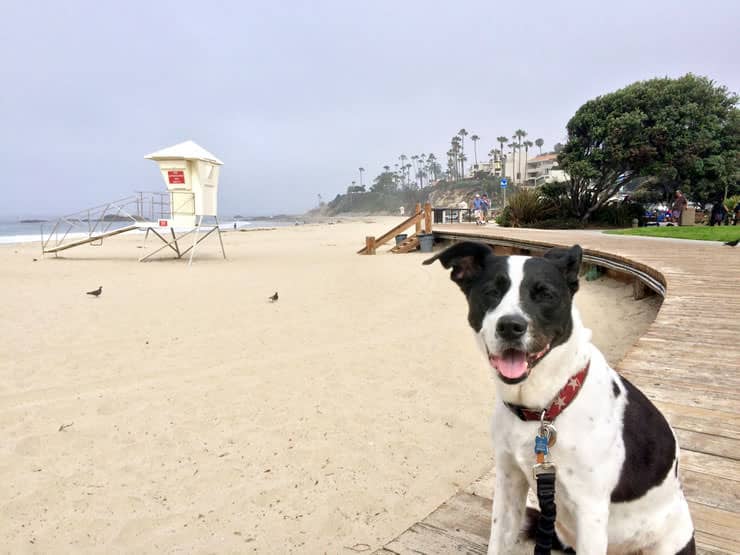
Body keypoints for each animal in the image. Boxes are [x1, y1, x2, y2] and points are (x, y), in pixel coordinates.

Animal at [424, 242, 696, 555]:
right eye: (491, 292)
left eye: (545, 294)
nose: (510, 326)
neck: (543, 408)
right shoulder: (509, 482)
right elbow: (498, 541)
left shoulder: (591, 510)